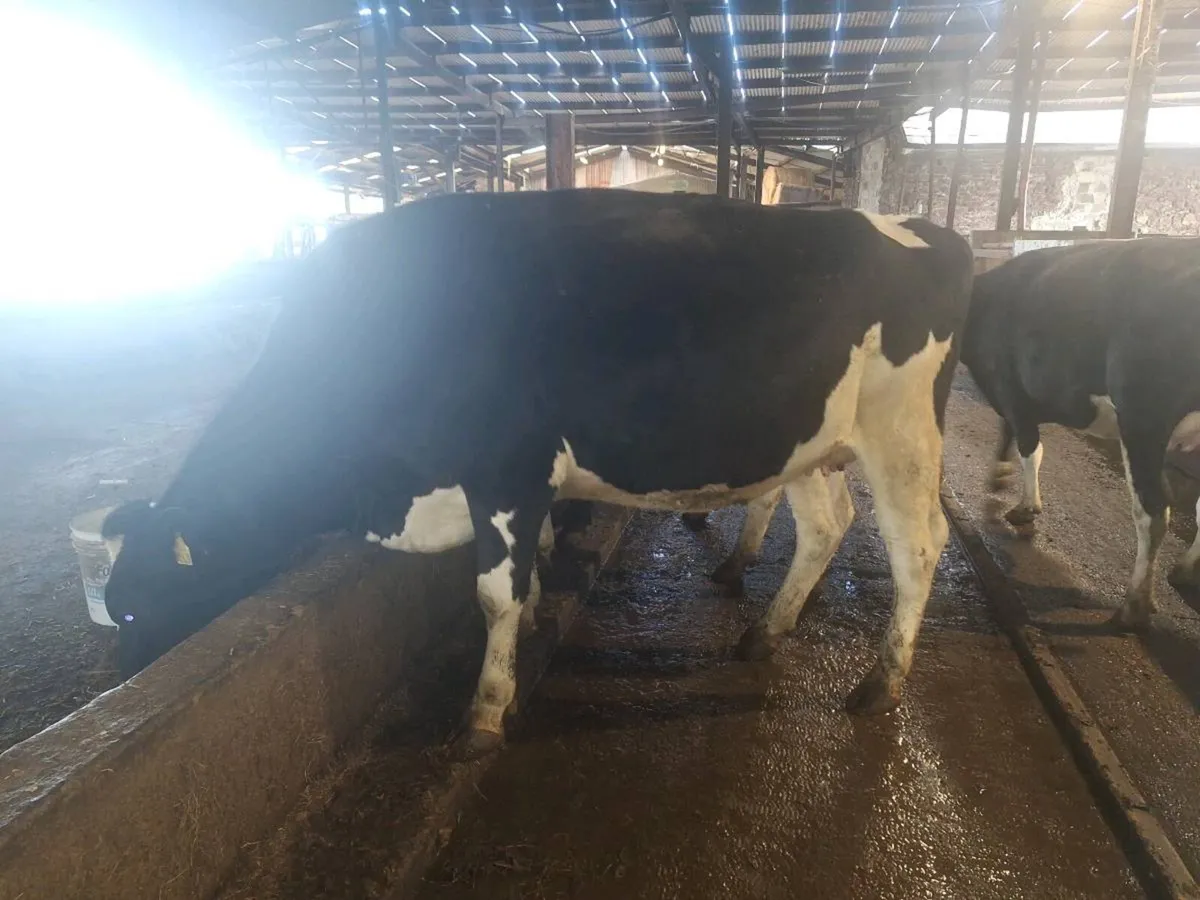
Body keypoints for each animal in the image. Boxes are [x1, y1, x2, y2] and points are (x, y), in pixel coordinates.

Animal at [100, 190, 973, 756]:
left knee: (918, 547)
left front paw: (484, 715)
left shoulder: (506, 471)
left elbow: (494, 595)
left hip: (901, 433)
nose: (118, 695)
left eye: (136, 610)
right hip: (810, 442)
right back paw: (765, 633)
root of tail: (927, 230)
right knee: (827, 525)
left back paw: (880, 685)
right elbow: (526, 580)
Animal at [961, 237, 1200, 630]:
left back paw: (1133, 607)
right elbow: (1011, 435)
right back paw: (1184, 571)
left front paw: (1025, 505)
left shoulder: (1010, 389)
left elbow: (1030, 448)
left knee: (1152, 511)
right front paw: (1000, 475)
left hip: (1142, 417)